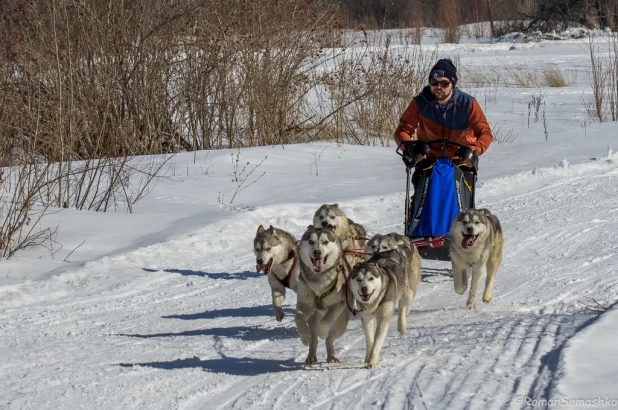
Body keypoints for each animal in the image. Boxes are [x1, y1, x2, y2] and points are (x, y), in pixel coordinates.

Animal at [294, 227, 352, 366]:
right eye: (311, 241)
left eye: (325, 242)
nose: (317, 252)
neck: (319, 279)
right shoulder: (304, 305)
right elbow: (298, 318)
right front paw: (304, 337)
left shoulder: (339, 304)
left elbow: (325, 322)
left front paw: (323, 332)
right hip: (313, 319)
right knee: (314, 339)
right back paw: (311, 356)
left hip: (341, 324)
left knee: (330, 338)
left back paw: (331, 355)